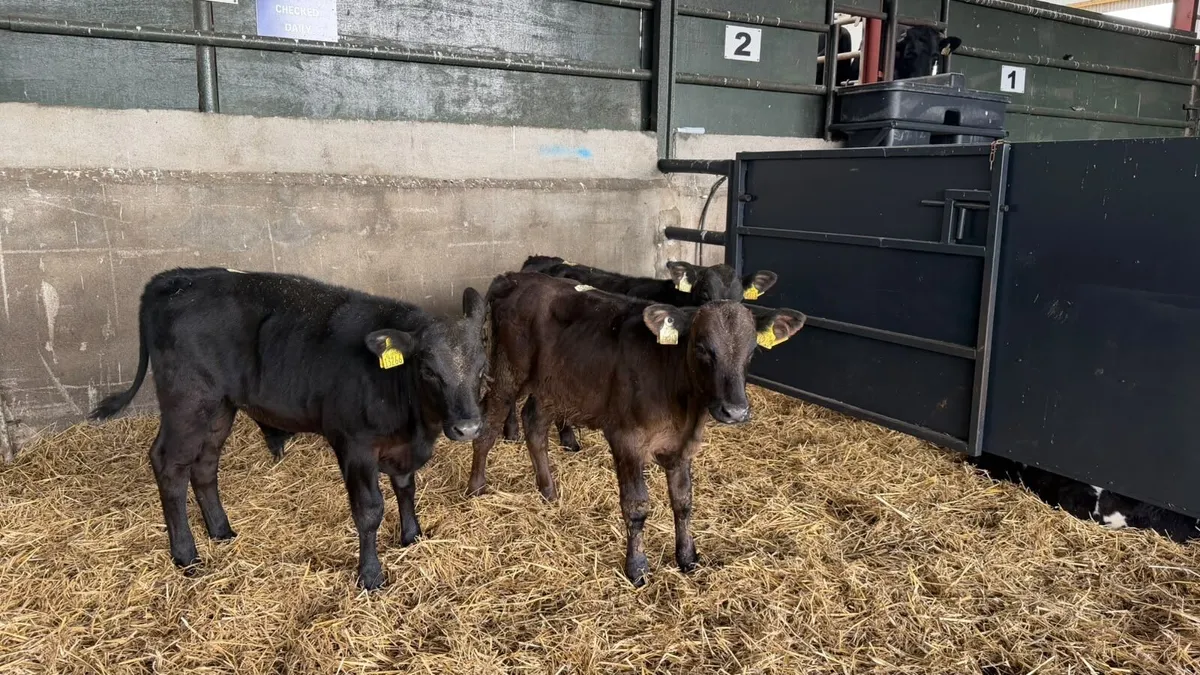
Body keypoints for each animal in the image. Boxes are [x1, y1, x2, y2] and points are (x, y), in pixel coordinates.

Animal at [87, 268, 488, 590]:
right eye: (428, 370)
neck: (412, 422)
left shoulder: (400, 449)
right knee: (169, 465)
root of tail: (177, 278)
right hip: (187, 404)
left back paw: (221, 531)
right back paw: (186, 554)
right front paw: (371, 575)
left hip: (219, 409)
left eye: (482, 368)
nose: (468, 427)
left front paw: (412, 537)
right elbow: (370, 510)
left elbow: (406, 488)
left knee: (204, 466)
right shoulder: (355, 445)